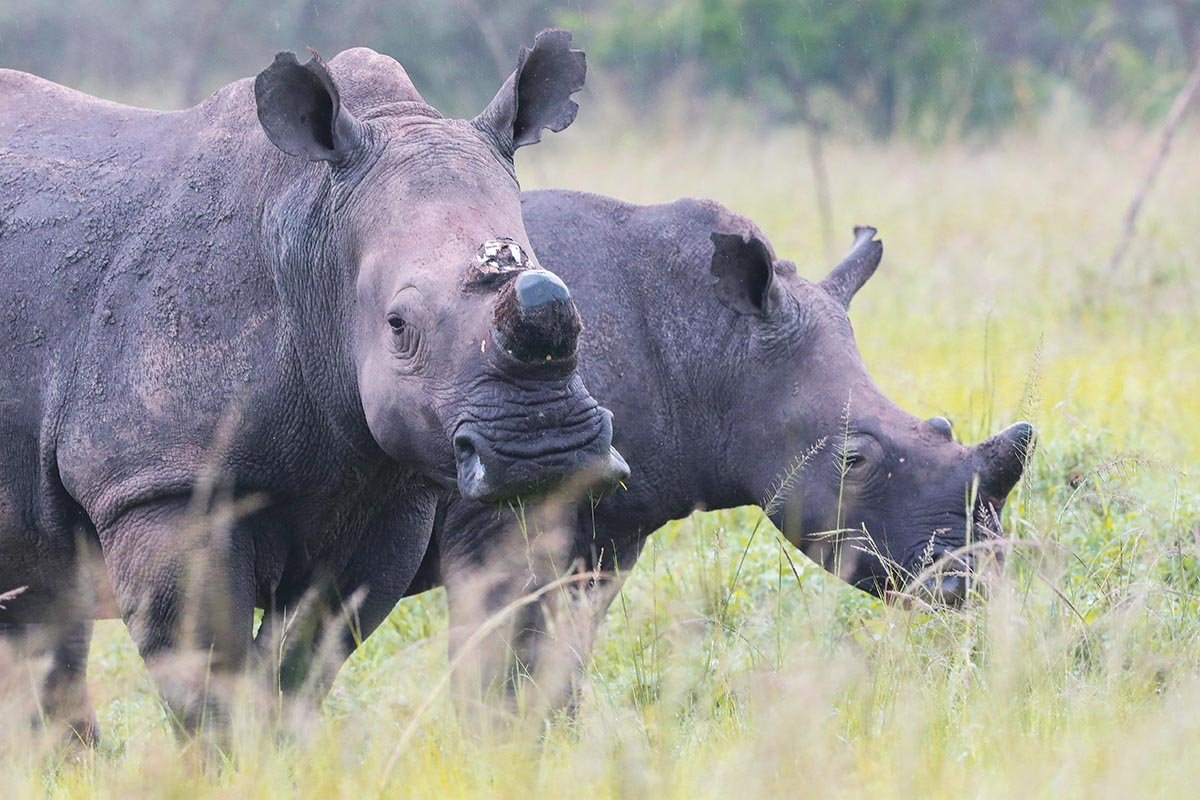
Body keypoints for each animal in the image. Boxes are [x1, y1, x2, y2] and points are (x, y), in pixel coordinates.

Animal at [0, 31, 627, 739]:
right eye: (398, 326)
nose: (544, 452)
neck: (314, 241)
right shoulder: (159, 484)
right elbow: (206, 670)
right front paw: (226, 758)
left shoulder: (386, 489)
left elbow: (304, 659)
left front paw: (280, 748)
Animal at [402, 190, 1036, 718]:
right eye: (853, 462)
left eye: (943, 425)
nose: (977, 576)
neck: (711, 345)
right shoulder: (500, 516)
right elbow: (497, 665)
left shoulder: (608, 532)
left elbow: (557, 660)